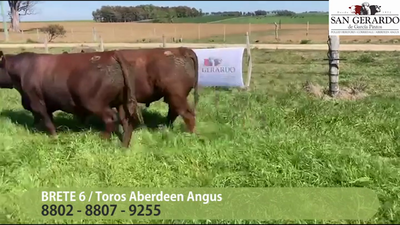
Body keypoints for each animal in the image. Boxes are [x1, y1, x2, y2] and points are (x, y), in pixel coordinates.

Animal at [0, 50, 141, 147]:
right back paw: (123, 145)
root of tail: (111, 53)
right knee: (126, 122)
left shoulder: (37, 102)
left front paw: (54, 138)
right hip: (121, 103)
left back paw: (103, 138)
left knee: (111, 119)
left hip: (95, 103)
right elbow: (42, 119)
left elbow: (46, 121)